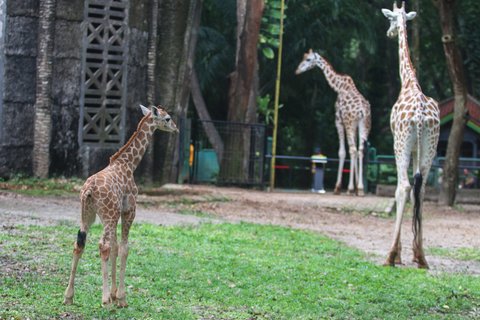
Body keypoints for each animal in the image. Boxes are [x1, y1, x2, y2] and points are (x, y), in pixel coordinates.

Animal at [62, 105, 177, 308]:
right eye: (168, 118)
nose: (176, 129)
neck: (129, 164)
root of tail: (88, 190)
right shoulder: (128, 210)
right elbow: (124, 248)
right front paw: (120, 298)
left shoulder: (115, 215)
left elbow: (116, 248)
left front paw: (115, 294)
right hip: (108, 214)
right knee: (103, 245)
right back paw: (105, 300)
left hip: (88, 215)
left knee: (80, 244)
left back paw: (69, 296)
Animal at [296, 49, 372, 195]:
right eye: (303, 57)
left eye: (308, 59)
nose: (297, 70)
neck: (339, 86)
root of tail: (362, 111)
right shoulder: (355, 126)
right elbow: (354, 151)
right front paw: (356, 187)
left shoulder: (339, 120)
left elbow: (342, 152)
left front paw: (339, 187)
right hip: (364, 125)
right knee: (360, 150)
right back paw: (360, 189)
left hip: (349, 123)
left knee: (353, 150)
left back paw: (349, 189)